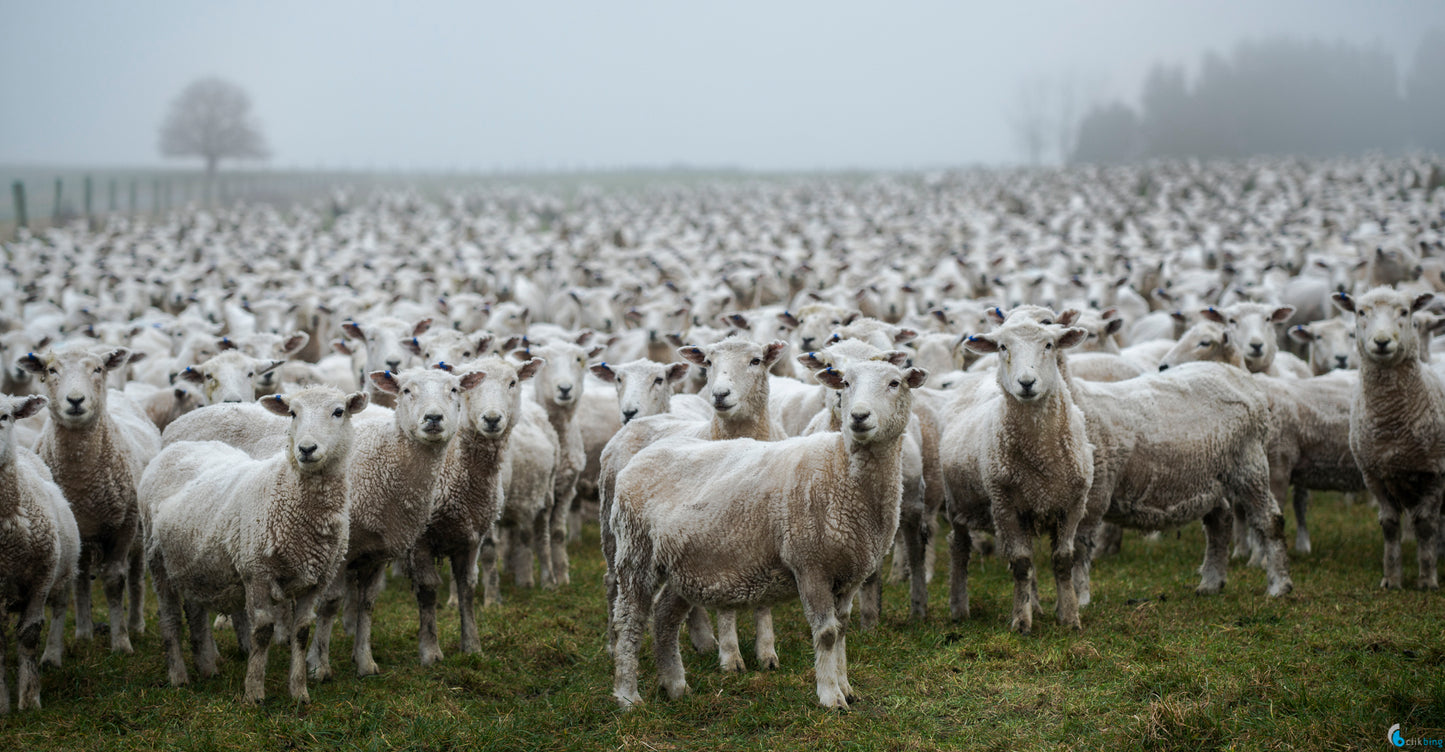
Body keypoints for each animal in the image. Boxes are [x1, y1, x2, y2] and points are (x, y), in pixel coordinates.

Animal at [140, 387, 369, 705]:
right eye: (292, 413)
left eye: (338, 412)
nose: (306, 449)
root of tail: (175, 448)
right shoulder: (256, 572)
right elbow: (262, 631)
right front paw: (254, 692)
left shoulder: (315, 581)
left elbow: (301, 633)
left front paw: (299, 692)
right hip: (157, 560)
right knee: (170, 618)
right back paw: (178, 676)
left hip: (193, 563)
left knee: (195, 612)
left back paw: (207, 667)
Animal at [413, 354, 543, 665]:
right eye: (465, 387)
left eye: (512, 382)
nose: (492, 419)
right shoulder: (421, 539)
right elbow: (427, 591)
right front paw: (430, 651)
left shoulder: (473, 535)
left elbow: (469, 585)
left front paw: (473, 644)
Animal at [942, 313, 1086, 630]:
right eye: (1002, 347)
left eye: (1049, 344)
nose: (1027, 382)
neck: (1041, 458)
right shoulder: (1004, 505)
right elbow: (1021, 563)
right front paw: (1021, 621)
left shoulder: (1072, 505)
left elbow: (1062, 560)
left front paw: (1069, 617)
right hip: (956, 503)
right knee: (959, 548)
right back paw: (958, 608)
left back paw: (1037, 606)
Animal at [1329, 287, 1445, 587]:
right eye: (1360, 312)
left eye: (1405, 312)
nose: (1381, 342)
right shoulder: (1374, 475)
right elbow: (1390, 525)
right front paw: (1391, 579)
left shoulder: (1434, 473)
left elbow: (1425, 524)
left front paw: (1427, 579)